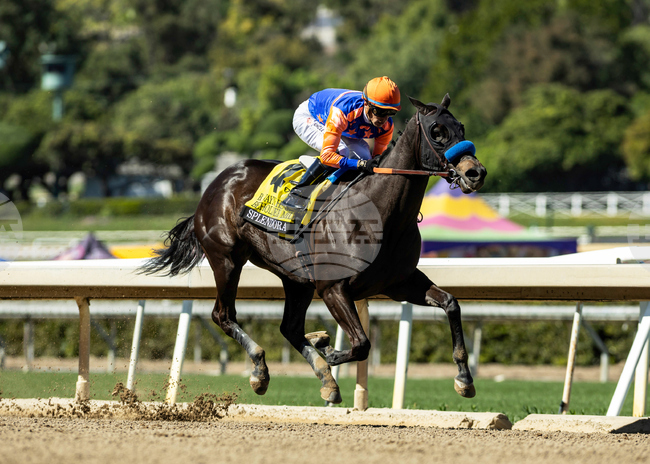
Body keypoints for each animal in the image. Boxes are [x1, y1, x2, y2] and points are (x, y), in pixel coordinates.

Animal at [140, 94, 487, 404]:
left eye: (461, 127)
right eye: (436, 131)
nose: (475, 172)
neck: (381, 212)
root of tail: (217, 182)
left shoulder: (399, 281)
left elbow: (451, 304)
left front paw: (464, 378)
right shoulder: (333, 287)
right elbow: (361, 343)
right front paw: (329, 349)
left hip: (295, 279)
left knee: (290, 328)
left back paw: (324, 378)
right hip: (226, 259)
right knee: (223, 315)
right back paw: (262, 370)